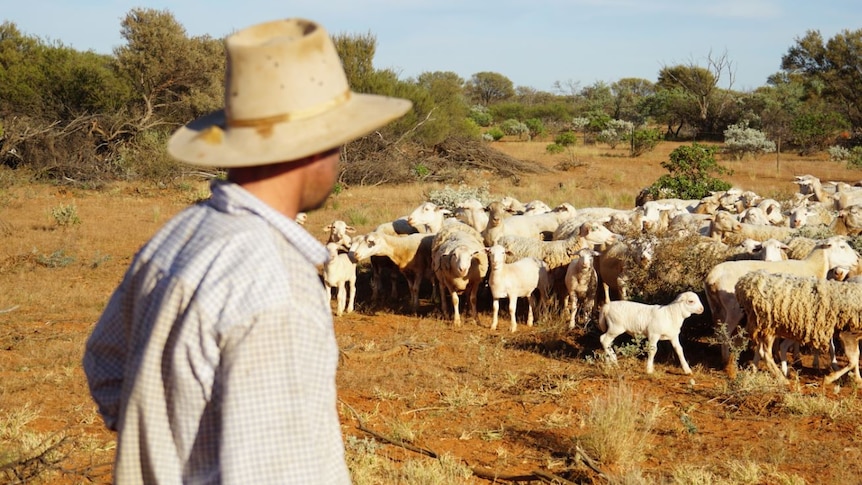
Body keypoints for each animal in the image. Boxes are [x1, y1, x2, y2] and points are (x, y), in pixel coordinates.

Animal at [704, 236, 860, 364]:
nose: (858, 259)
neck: (813, 267)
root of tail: (713, 276)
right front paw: (796, 357)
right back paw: (727, 362)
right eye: (842, 247)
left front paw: (779, 355)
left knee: (719, 330)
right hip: (733, 309)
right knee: (725, 333)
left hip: (716, 308)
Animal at [732, 270, 862, 384]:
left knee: (757, 348)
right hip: (768, 324)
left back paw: (753, 370)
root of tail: (747, 281)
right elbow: (853, 360)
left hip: (760, 324)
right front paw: (830, 378)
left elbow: (856, 357)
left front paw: (857, 379)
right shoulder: (847, 333)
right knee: (765, 352)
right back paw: (782, 378)